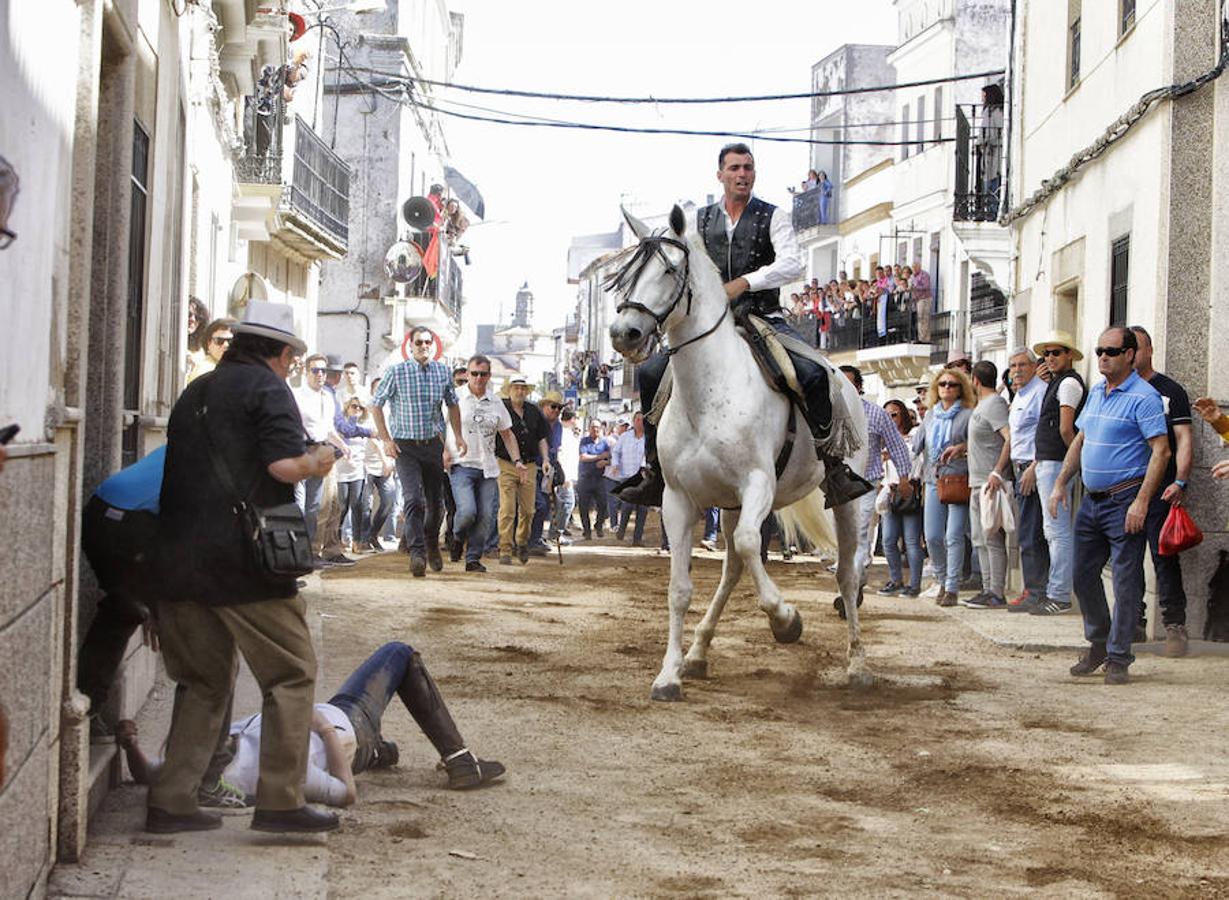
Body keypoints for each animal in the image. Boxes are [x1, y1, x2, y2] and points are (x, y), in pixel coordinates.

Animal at [609, 205, 870, 703]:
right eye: (627, 273)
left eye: (669, 271)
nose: (623, 333)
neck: (708, 389)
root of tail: (847, 385)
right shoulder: (678, 498)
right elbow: (680, 588)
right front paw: (668, 675)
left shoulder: (758, 484)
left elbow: (753, 545)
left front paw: (786, 621)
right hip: (728, 506)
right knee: (732, 567)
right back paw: (697, 654)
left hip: (847, 501)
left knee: (847, 573)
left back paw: (856, 664)